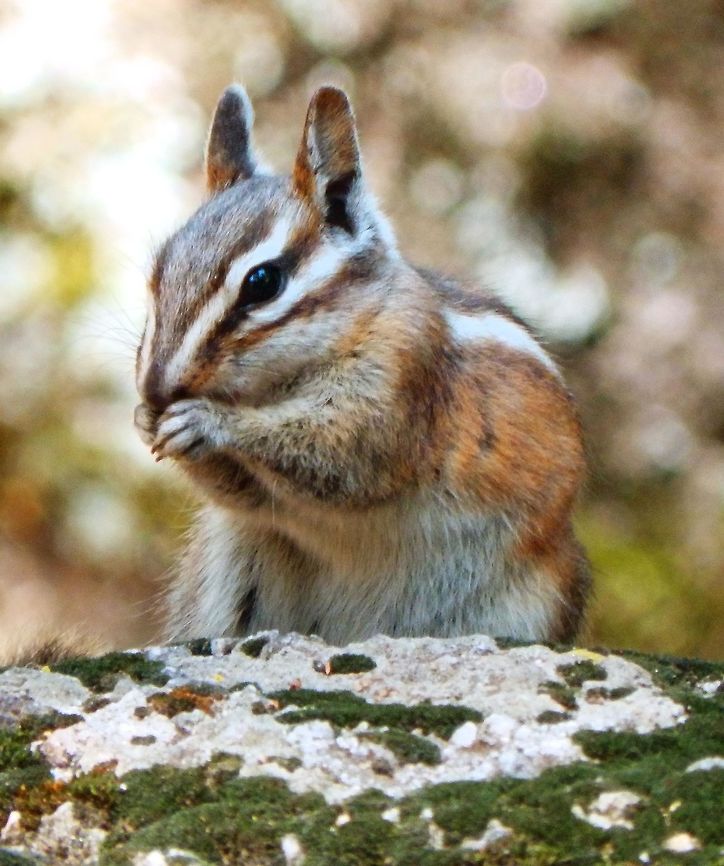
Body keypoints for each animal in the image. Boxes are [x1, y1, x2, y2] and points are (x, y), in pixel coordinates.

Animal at [134, 84, 591, 646]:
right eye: (159, 272)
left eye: (263, 282)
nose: (156, 388)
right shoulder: (255, 503)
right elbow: (244, 494)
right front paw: (146, 420)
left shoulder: (399, 383)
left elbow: (343, 454)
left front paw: (205, 421)